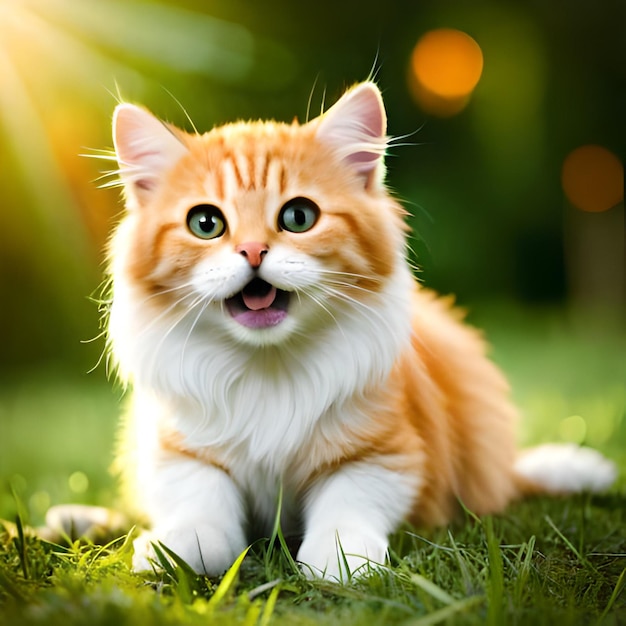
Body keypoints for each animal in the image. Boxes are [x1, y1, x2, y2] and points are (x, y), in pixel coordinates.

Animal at [103, 80, 616, 576]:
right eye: (205, 223)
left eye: (298, 217)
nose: (252, 250)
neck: (269, 365)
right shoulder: (177, 450)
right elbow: (200, 507)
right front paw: (176, 547)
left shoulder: (385, 452)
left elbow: (347, 505)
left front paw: (339, 559)